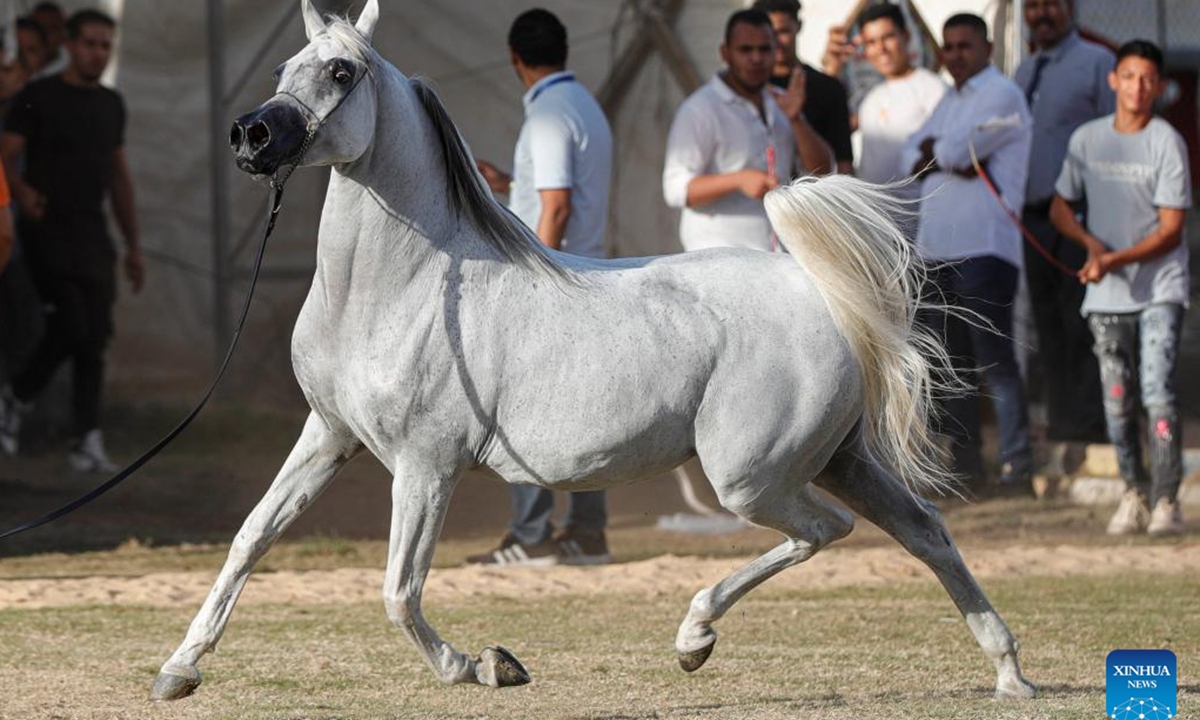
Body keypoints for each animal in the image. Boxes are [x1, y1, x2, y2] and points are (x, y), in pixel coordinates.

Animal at [151, 0, 1036, 702]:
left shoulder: (426, 465)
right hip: (840, 458)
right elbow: (250, 539)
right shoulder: (329, 436)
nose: (250, 135)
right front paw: (178, 670)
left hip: (752, 478)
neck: (407, 289)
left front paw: (489, 665)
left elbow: (400, 592)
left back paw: (694, 638)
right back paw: (1010, 674)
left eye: (340, 71)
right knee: (925, 531)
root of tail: (821, 292)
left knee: (825, 532)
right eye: (283, 67)